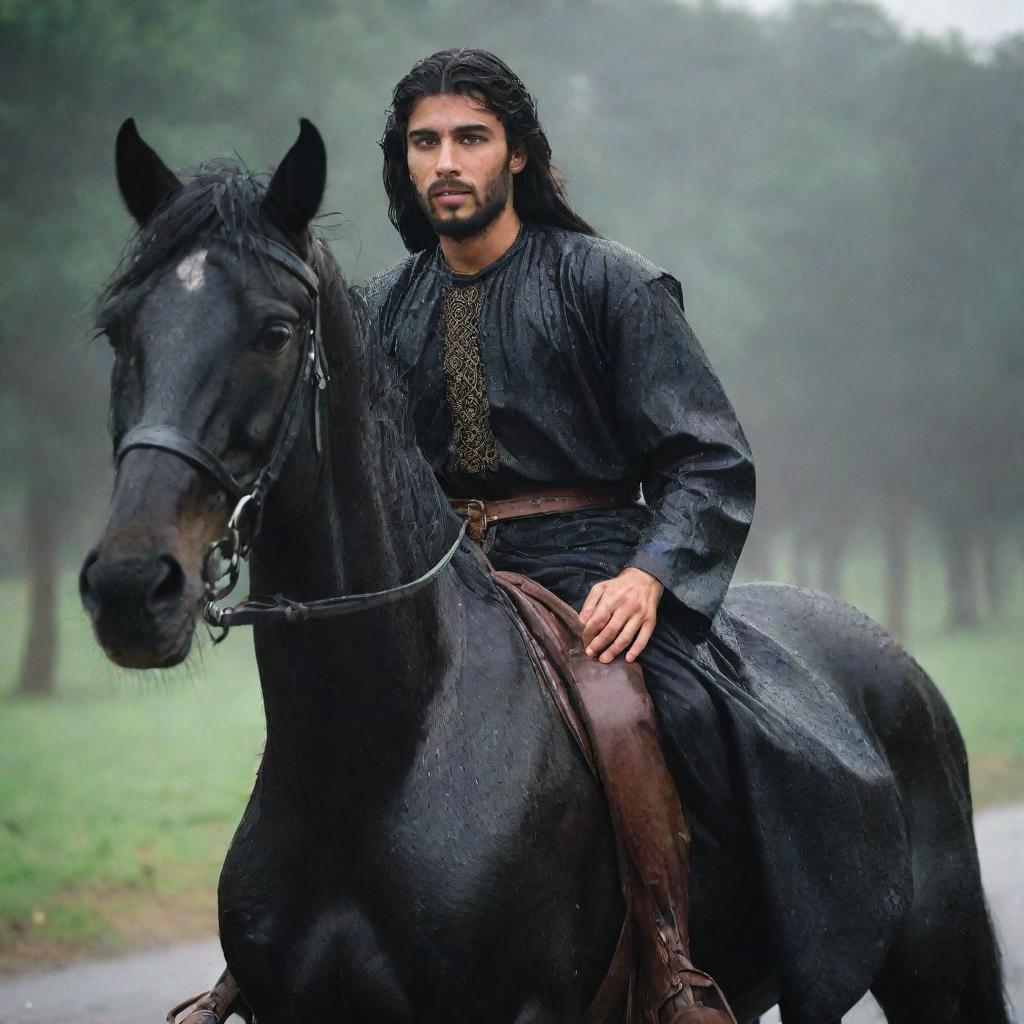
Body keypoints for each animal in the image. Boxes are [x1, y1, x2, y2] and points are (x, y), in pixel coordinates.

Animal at [79, 121, 1007, 1024]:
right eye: (118, 330)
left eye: (274, 332)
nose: (130, 588)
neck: (374, 765)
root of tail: (899, 663)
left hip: (932, 973)